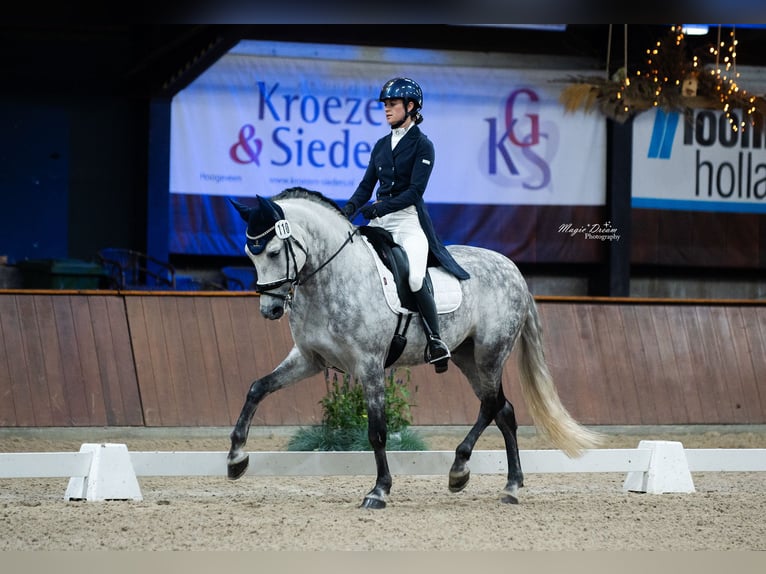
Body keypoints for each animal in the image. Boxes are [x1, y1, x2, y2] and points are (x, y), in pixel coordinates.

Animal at [226, 187, 602, 508]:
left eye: (275, 251)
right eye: (249, 254)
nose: (270, 310)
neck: (332, 278)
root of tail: (514, 270)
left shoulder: (370, 365)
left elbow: (377, 431)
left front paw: (379, 491)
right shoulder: (309, 359)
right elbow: (257, 388)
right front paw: (236, 458)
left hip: (490, 354)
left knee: (492, 405)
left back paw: (464, 471)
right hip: (467, 356)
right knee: (503, 410)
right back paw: (506, 485)